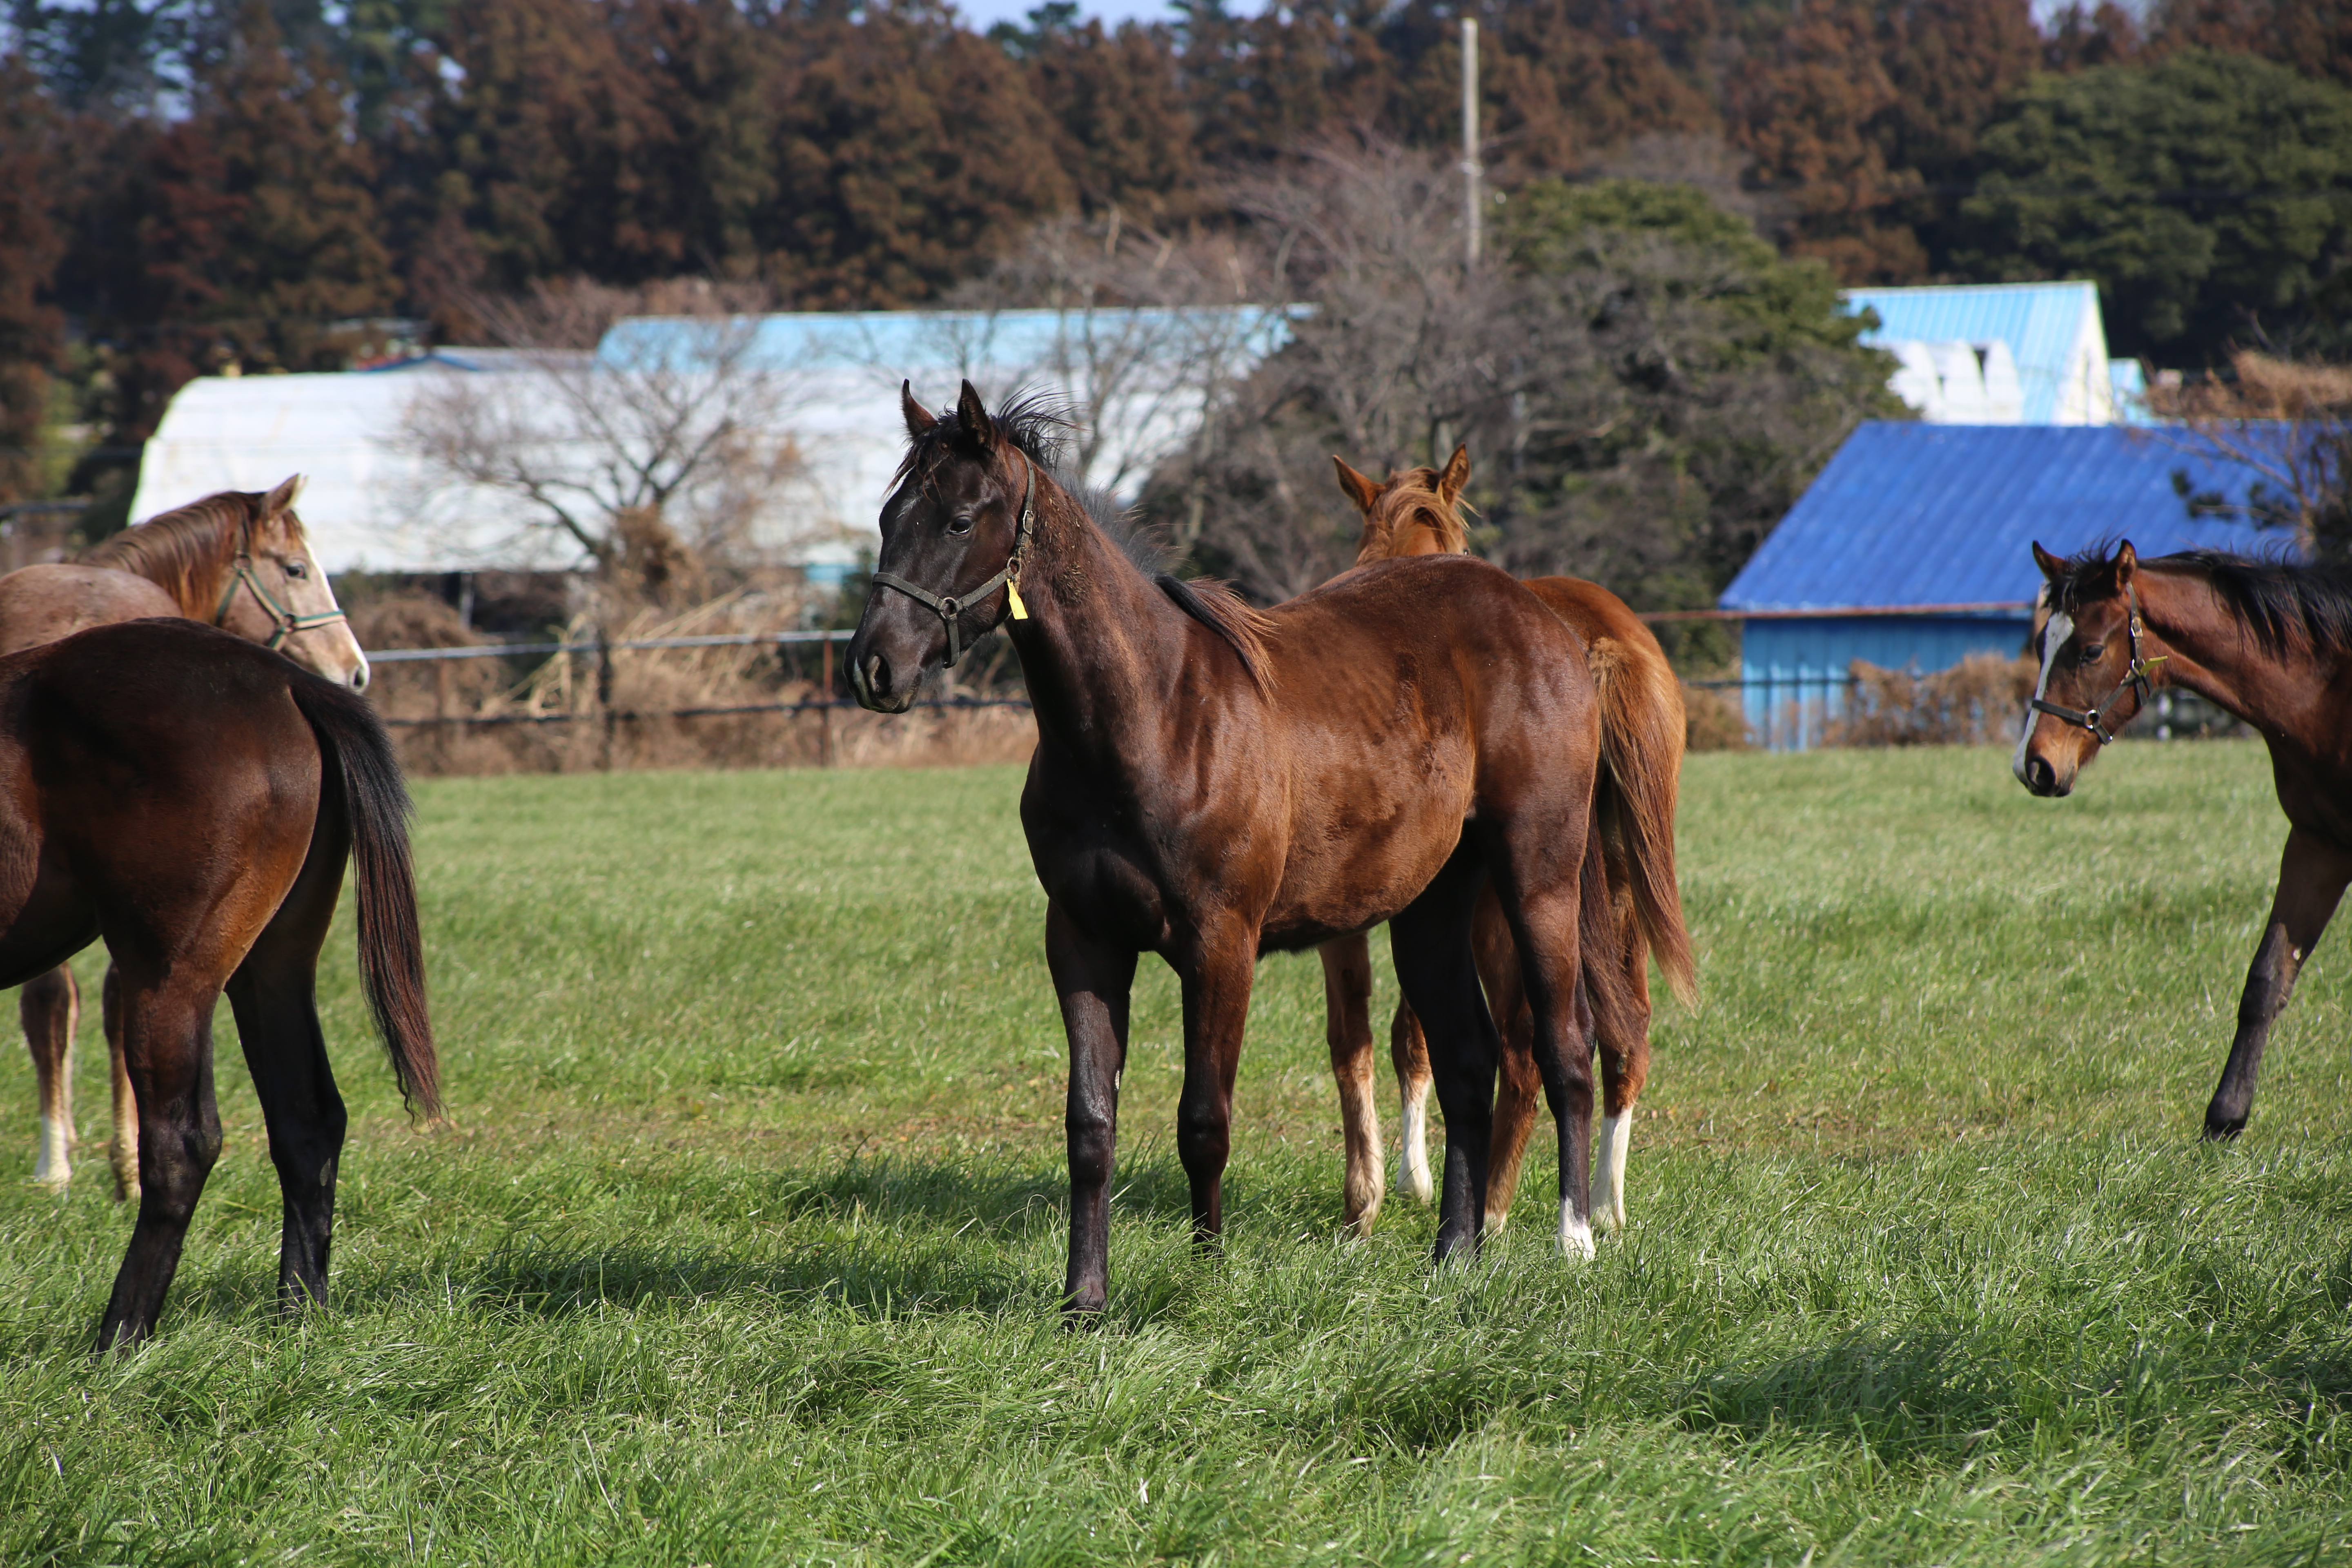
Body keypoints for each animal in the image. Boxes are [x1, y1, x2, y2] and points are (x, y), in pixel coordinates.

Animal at [0, 611, 437, 1354]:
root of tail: (288, 682)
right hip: (272, 969)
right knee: (308, 1122)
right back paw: (299, 1315)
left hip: (169, 977)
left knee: (182, 1144)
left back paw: (119, 1340)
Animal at [846, 383, 1637, 1316]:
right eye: (889, 516)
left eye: (961, 520)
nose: (874, 668)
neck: (1153, 713)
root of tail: (1543, 622)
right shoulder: (1082, 941)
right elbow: (1090, 1124)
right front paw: (1084, 1300)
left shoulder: (1220, 944)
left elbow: (1204, 1120)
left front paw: (1205, 1273)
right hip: (1431, 909)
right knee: (1469, 1064)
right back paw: (1454, 1256)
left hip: (1538, 876)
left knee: (1565, 1048)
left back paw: (1575, 1241)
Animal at [1326, 444, 1693, 1241]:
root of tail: (1601, 639)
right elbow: (1413, 1034)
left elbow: (1365, 1039)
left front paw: (1376, 1196)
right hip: (1615, 887)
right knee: (1627, 1034)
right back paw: (1603, 1202)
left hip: (1515, 908)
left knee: (1527, 1047)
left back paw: (1493, 1209)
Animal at [2004, 541, 2352, 1142]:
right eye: (2040, 645)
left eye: (2091, 651)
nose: (2035, 766)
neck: (2330, 696)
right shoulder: (2318, 844)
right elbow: (2266, 980)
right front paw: (2225, 1118)